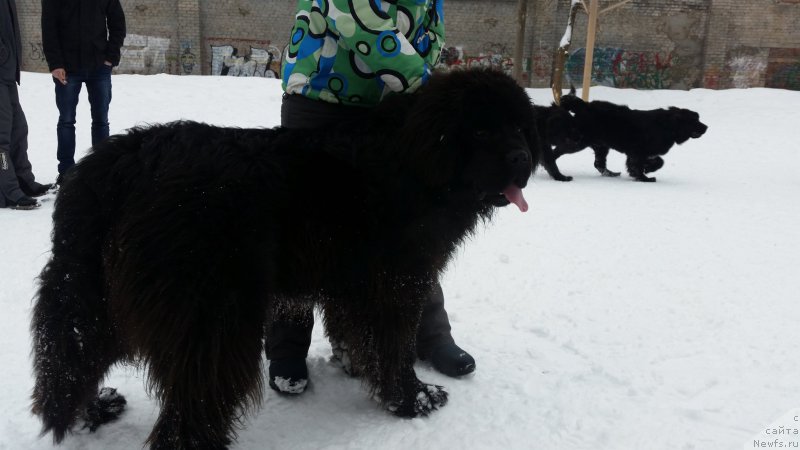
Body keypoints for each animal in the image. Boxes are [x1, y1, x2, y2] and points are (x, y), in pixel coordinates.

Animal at [34, 68, 540, 448]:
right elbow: (394, 345)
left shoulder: (353, 284)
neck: (417, 161)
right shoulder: (395, 282)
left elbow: (361, 338)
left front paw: (358, 370)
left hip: (97, 297)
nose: (522, 158)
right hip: (211, 317)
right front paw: (412, 399)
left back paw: (96, 410)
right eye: (480, 128)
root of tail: (121, 163)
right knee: (190, 404)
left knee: (77, 360)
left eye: (519, 127)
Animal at [544, 90, 708, 182]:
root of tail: (585, 106)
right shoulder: (638, 152)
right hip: (578, 142)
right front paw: (645, 178)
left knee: (599, 164)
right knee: (557, 151)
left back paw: (611, 174)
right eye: (695, 120)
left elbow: (659, 162)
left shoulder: (641, 153)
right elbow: (640, 165)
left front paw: (647, 170)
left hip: (601, 146)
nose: (706, 127)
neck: (667, 126)